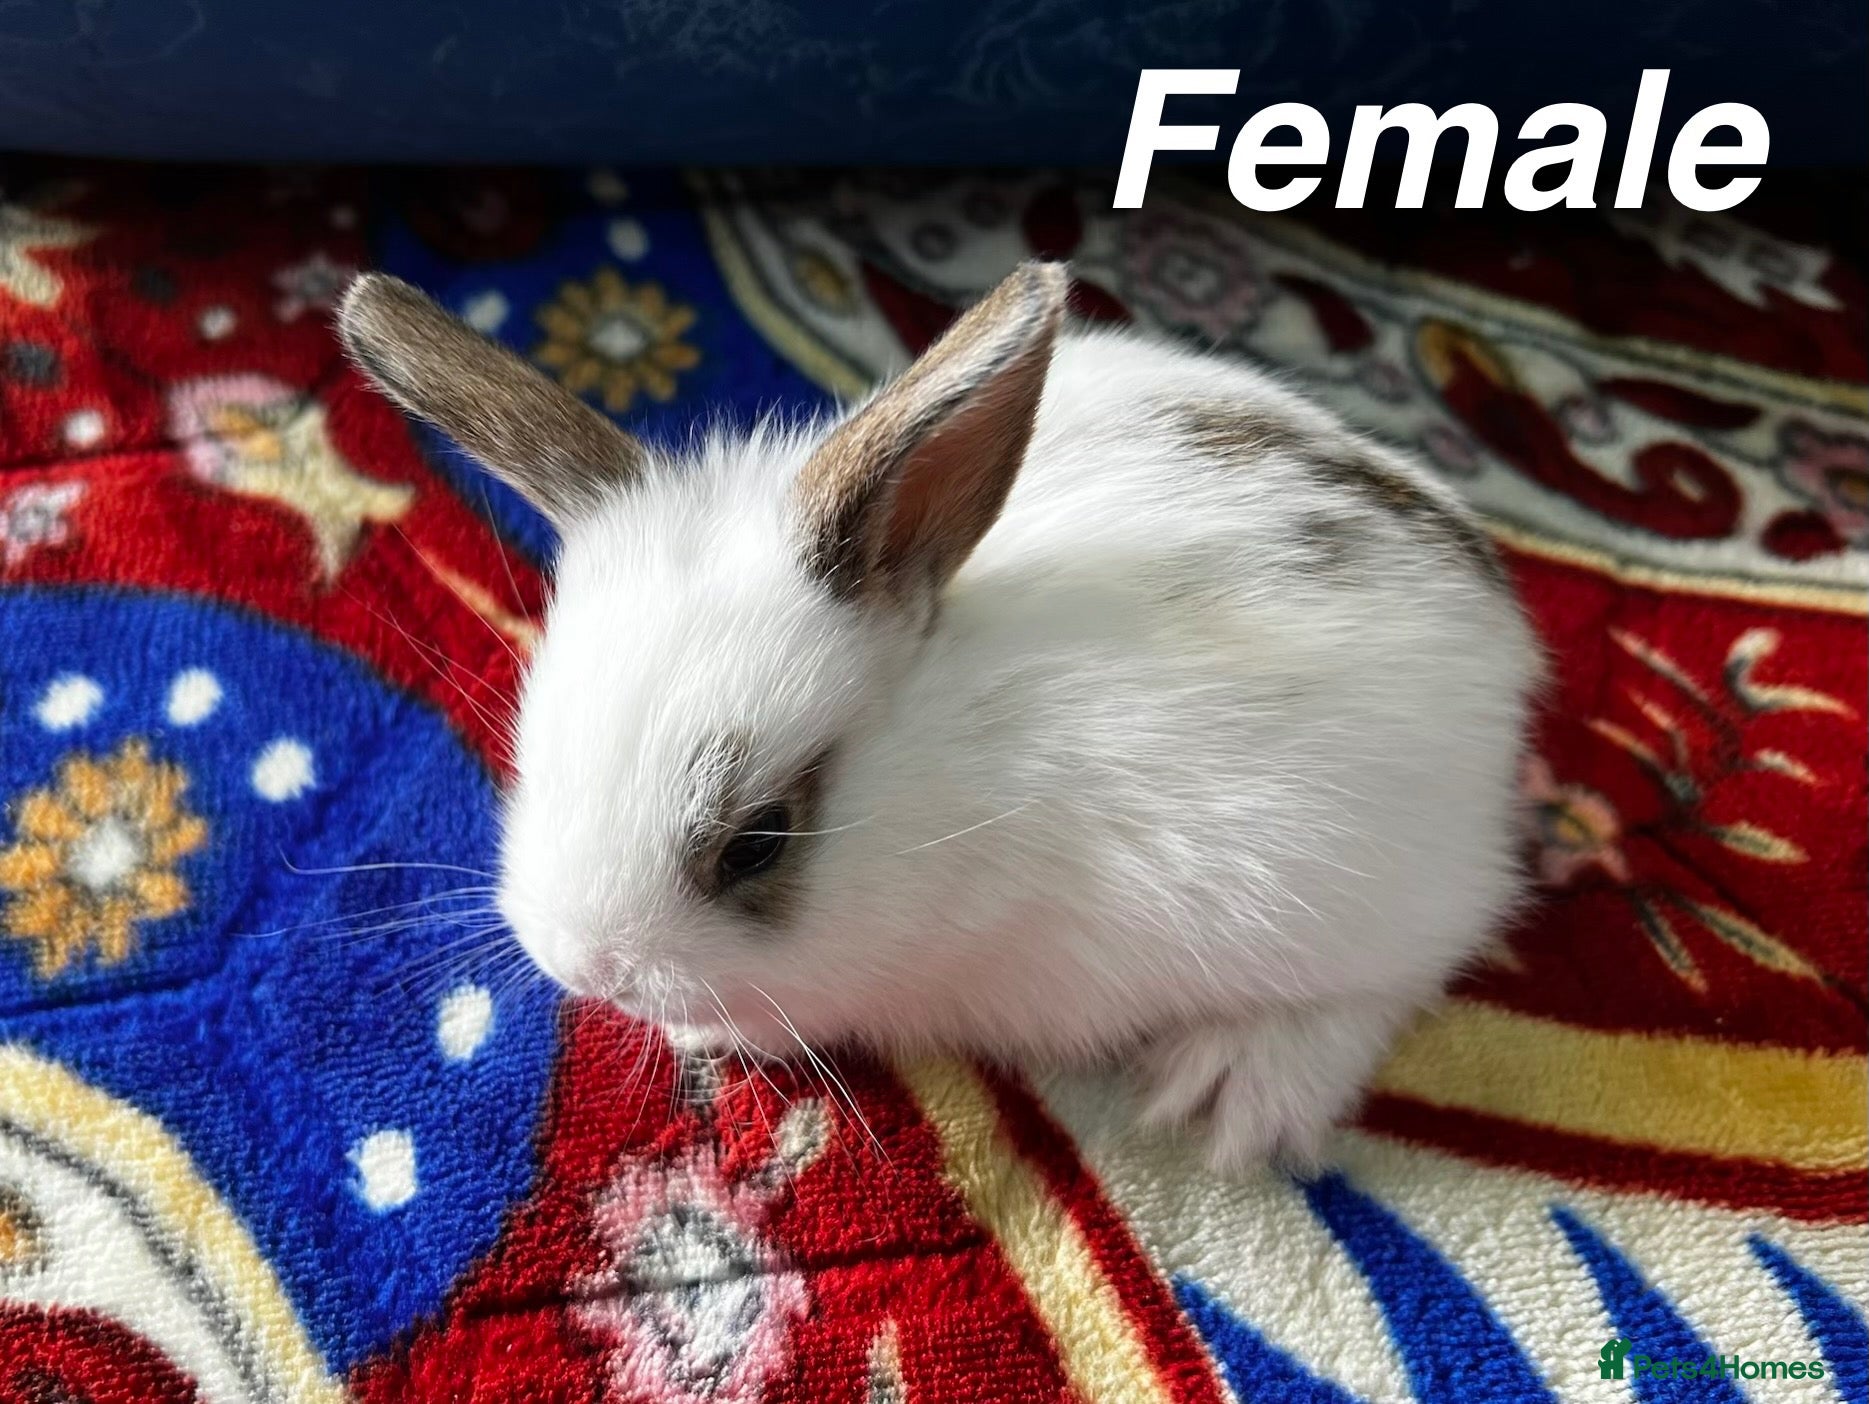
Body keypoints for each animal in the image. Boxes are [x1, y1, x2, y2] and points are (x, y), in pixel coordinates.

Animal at [337, 261, 1538, 1173]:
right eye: (533, 749)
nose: (587, 968)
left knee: (1399, 978)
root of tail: (1496, 623)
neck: (957, 780)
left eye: (757, 841)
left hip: (1365, 901)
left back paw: (1233, 1089)